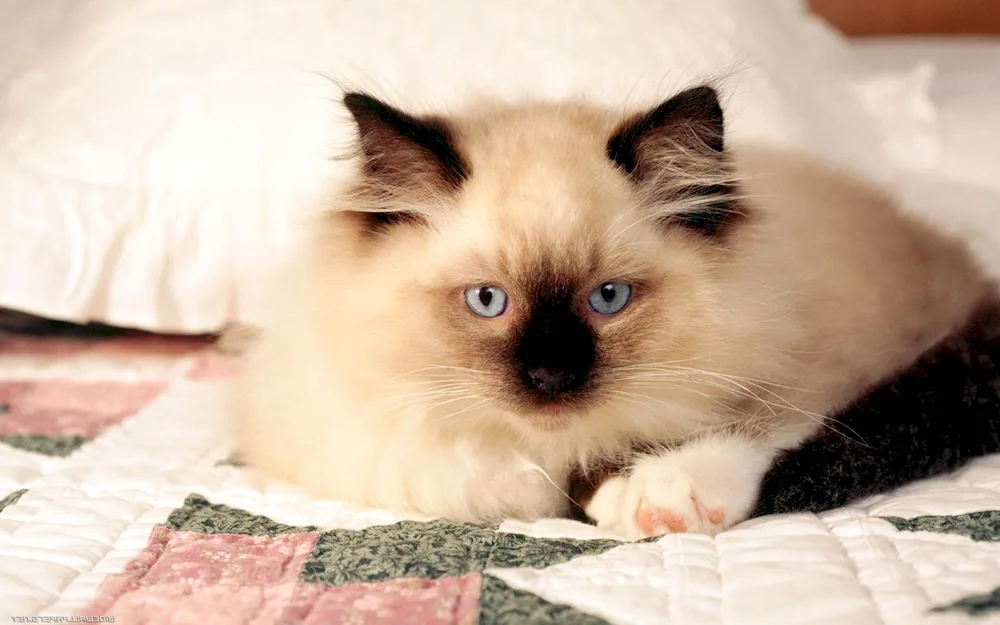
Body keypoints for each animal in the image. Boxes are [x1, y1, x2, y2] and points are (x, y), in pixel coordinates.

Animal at [229, 85, 992, 540]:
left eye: (608, 298)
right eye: (487, 301)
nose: (549, 375)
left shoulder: (815, 370)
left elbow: (759, 428)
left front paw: (663, 497)